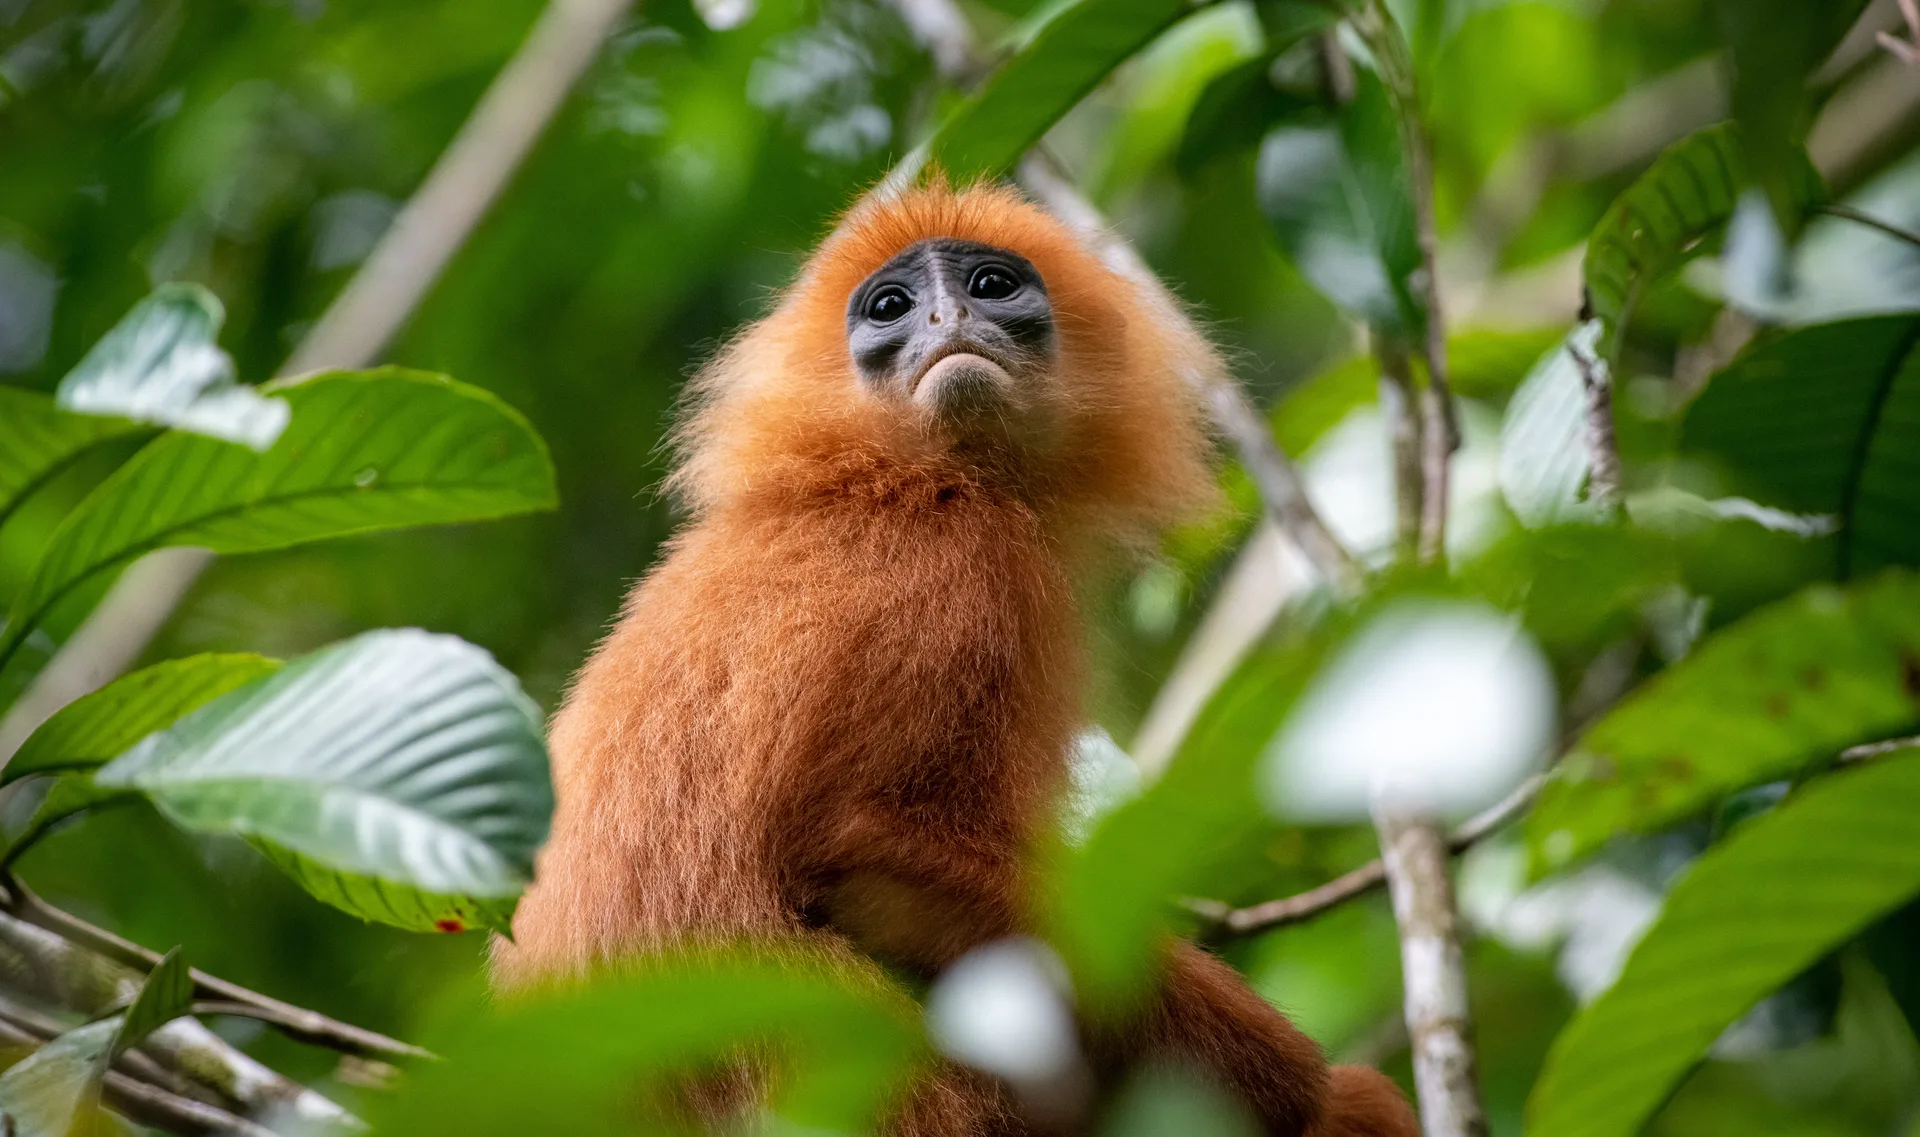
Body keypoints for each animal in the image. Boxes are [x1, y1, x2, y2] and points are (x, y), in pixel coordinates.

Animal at [493, 181, 1418, 1137]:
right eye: (891, 307)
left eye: (990, 285)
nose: (947, 316)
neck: (885, 477)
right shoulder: (963, 571)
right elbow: (867, 843)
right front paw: (1308, 1092)